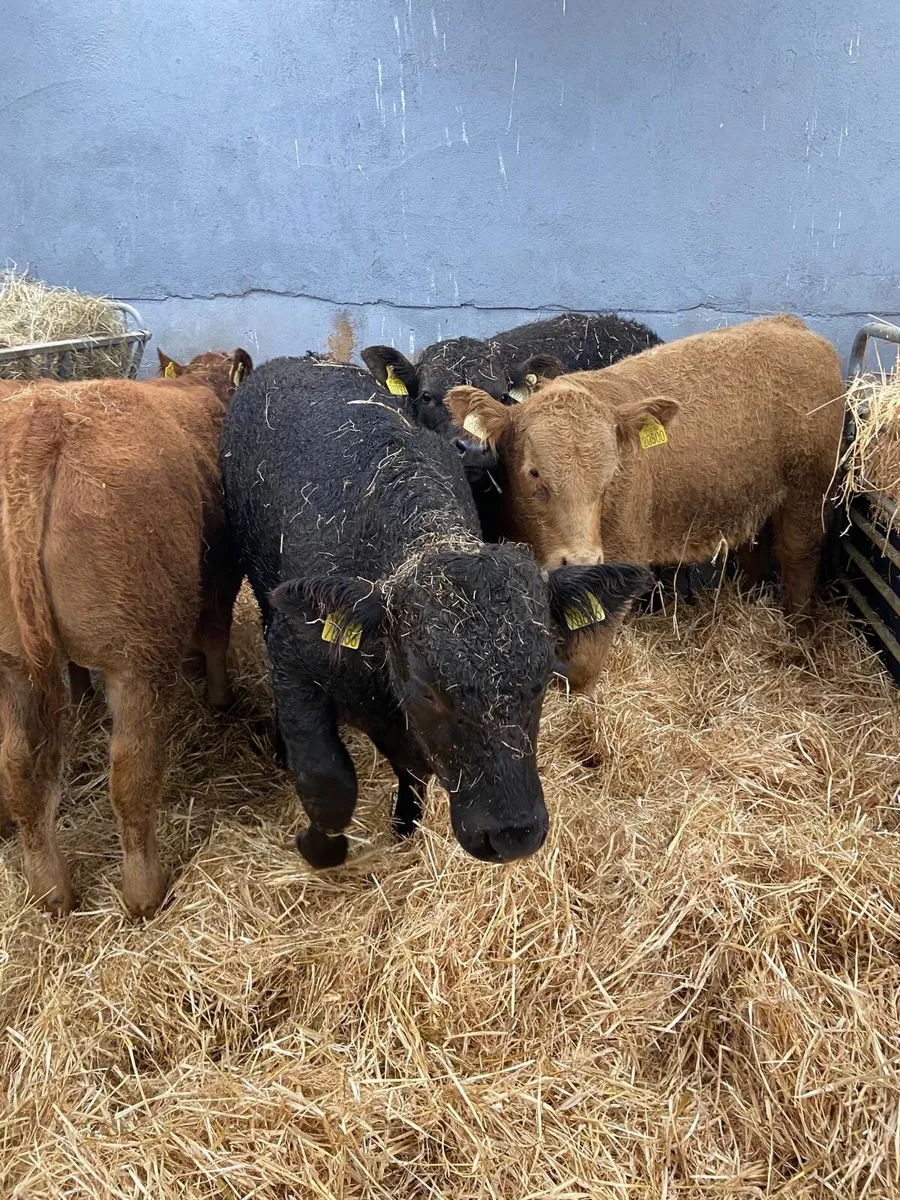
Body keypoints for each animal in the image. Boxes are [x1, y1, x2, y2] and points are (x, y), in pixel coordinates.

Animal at [0, 347, 251, 916]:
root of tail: (41, 420)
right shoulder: (223, 566)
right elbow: (215, 631)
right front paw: (219, 694)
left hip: (11, 663)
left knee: (19, 766)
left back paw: (50, 888)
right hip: (139, 652)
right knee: (132, 775)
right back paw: (145, 892)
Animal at [220, 357, 650, 869]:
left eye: (543, 679)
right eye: (428, 689)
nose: (512, 834)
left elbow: (412, 769)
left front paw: (405, 824)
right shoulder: (293, 658)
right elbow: (327, 779)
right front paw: (319, 847)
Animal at [446, 316, 845, 691]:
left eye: (611, 476)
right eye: (534, 472)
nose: (580, 560)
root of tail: (791, 326)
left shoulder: (620, 561)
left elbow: (582, 664)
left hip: (808, 492)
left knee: (799, 556)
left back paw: (798, 638)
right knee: (754, 552)